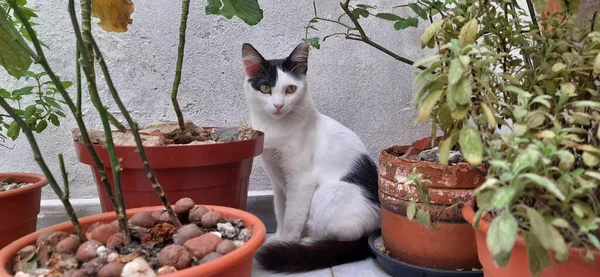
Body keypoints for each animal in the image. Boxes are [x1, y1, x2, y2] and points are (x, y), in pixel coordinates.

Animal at [243, 42, 380, 270]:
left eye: (290, 89)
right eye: (265, 88)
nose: (278, 105)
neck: (276, 127)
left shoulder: (301, 181)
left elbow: (292, 217)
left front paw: (285, 243)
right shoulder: (277, 180)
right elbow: (281, 211)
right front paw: (278, 237)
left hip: (330, 192)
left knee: (342, 235)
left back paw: (307, 243)